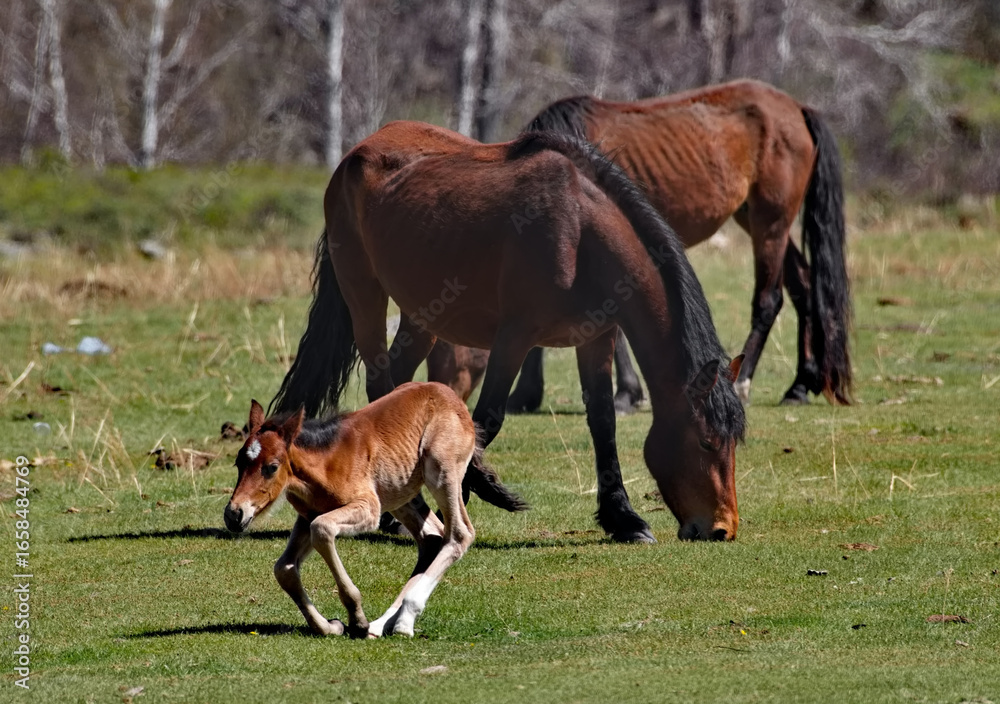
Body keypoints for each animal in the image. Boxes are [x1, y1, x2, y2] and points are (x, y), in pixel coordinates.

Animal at [223, 383, 523, 638]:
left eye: (272, 467)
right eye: (239, 463)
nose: (234, 514)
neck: (325, 462)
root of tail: (456, 401)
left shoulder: (367, 509)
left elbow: (323, 530)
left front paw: (356, 618)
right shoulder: (308, 515)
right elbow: (284, 569)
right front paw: (331, 626)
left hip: (441, 471)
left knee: (459, 534)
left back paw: (402, 622)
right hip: (402, 495)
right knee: (432, 538)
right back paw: (381, 625)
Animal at [270, 120, 747, 543]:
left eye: (732, 444)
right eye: (706, 442)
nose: (721, 528)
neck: (580, 230)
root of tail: (355, 154)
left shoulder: (597, 338)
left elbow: (603, 422)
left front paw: (623, 518)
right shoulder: (515, 336)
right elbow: (487, 418)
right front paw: (470, 495)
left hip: (422, 315)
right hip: (365, 295)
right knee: (378, 377)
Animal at [428, 79, 851, 412]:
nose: (440, 395)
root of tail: (797, 108)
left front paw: (625, 395)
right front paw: (530, 394)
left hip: (771, 222)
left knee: (769, 300)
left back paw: (745, 381)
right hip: (756, 218)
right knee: (803, 287)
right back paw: (800, 386)